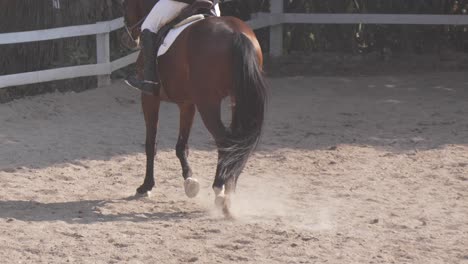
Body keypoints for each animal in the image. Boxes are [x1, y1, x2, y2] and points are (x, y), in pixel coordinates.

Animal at [119, 0, 266, 219]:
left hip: (208, 103)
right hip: (236, 99)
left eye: (124, 5)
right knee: (236, 143)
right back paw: (229, 190)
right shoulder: (187, 103)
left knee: (225, 141)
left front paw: (146, 187)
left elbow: (151, 144)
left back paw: (220, 192)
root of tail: (236, 34)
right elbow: (181, 146)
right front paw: (190, 182)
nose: (127, 39)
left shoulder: (149, 98)